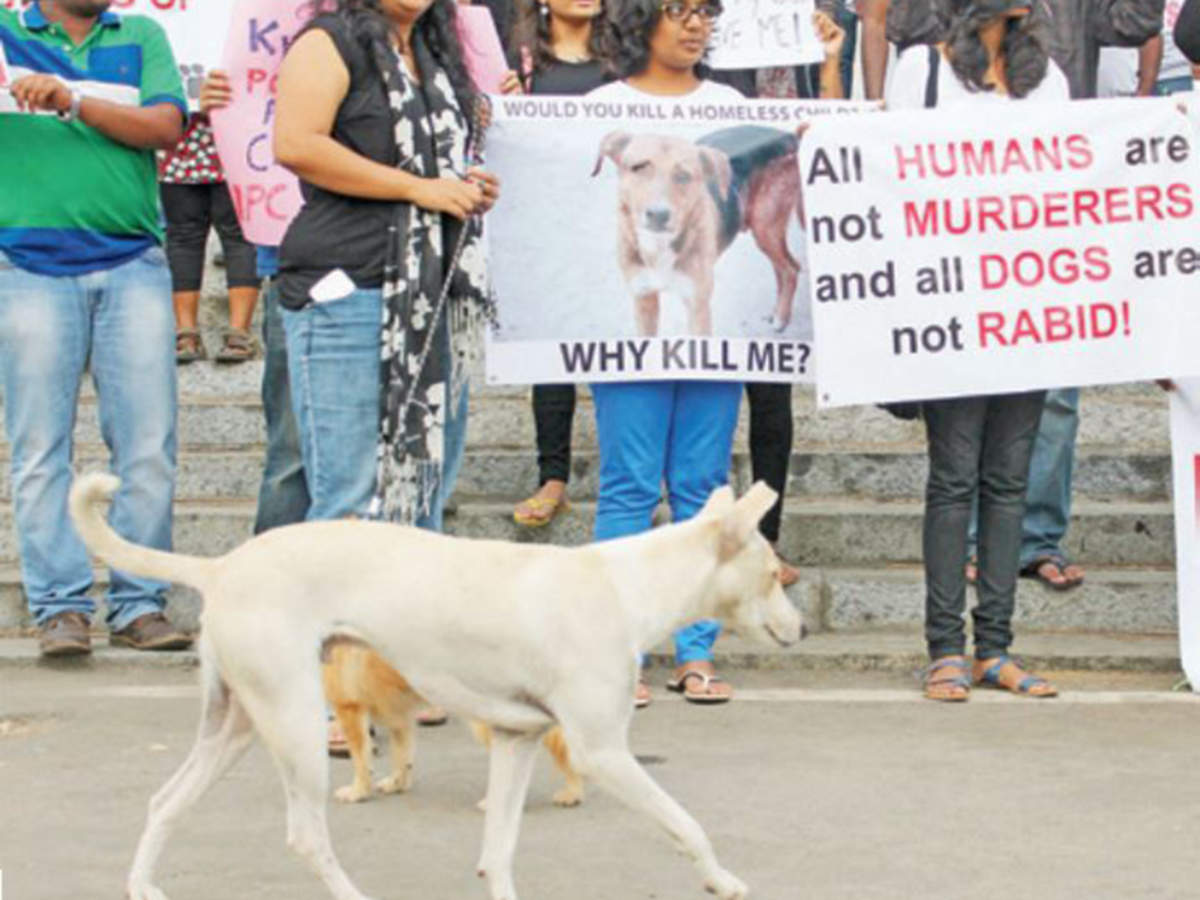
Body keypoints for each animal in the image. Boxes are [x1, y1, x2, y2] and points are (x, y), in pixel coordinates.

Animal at [70, 475, 801, 897]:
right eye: (773, 572)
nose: (798, 630)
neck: (624, 587)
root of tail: (220, 566)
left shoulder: (513, 741)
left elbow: (498, 856)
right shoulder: (603, 753)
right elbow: (688, 826)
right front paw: (723, 880)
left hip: (236, 726)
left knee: (164, 802)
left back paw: (142, 885)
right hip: (297, 726)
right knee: (306, 836)